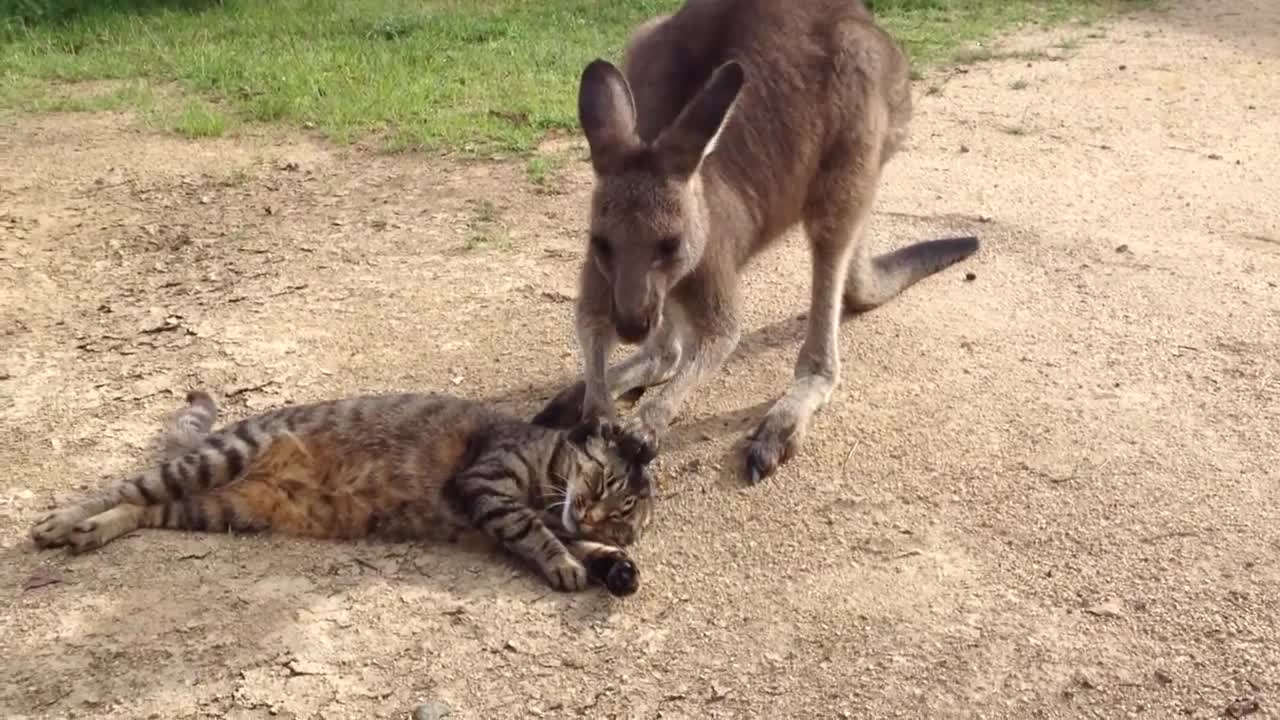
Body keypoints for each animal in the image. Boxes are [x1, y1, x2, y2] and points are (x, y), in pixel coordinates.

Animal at [32, 392, 650, 594]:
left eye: (621, 518)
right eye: (603, 484)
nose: (592, 514)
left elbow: (583, 547)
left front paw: (617, 568)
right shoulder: (486, 486)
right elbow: (538, 533)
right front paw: (565, 563)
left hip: (221, 508)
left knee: (143, 508)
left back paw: (91, 531)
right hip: (215, 462)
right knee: (123, 486)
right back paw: (62, 521)